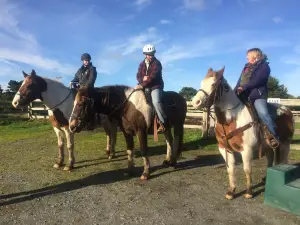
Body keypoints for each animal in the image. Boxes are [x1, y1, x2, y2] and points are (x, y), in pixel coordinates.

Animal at [191, 67, 294, 200]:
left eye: (213, 84)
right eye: (201, 83)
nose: (195, 102)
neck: (231, 119)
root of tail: (286, 110)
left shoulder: (247, 149)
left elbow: (247, 169)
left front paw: (249, 192)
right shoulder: (224, 148)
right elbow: (230, 169)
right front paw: (231, 191)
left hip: (286, 144)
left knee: (284, 160)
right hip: (267, 146)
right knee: (270, 158)